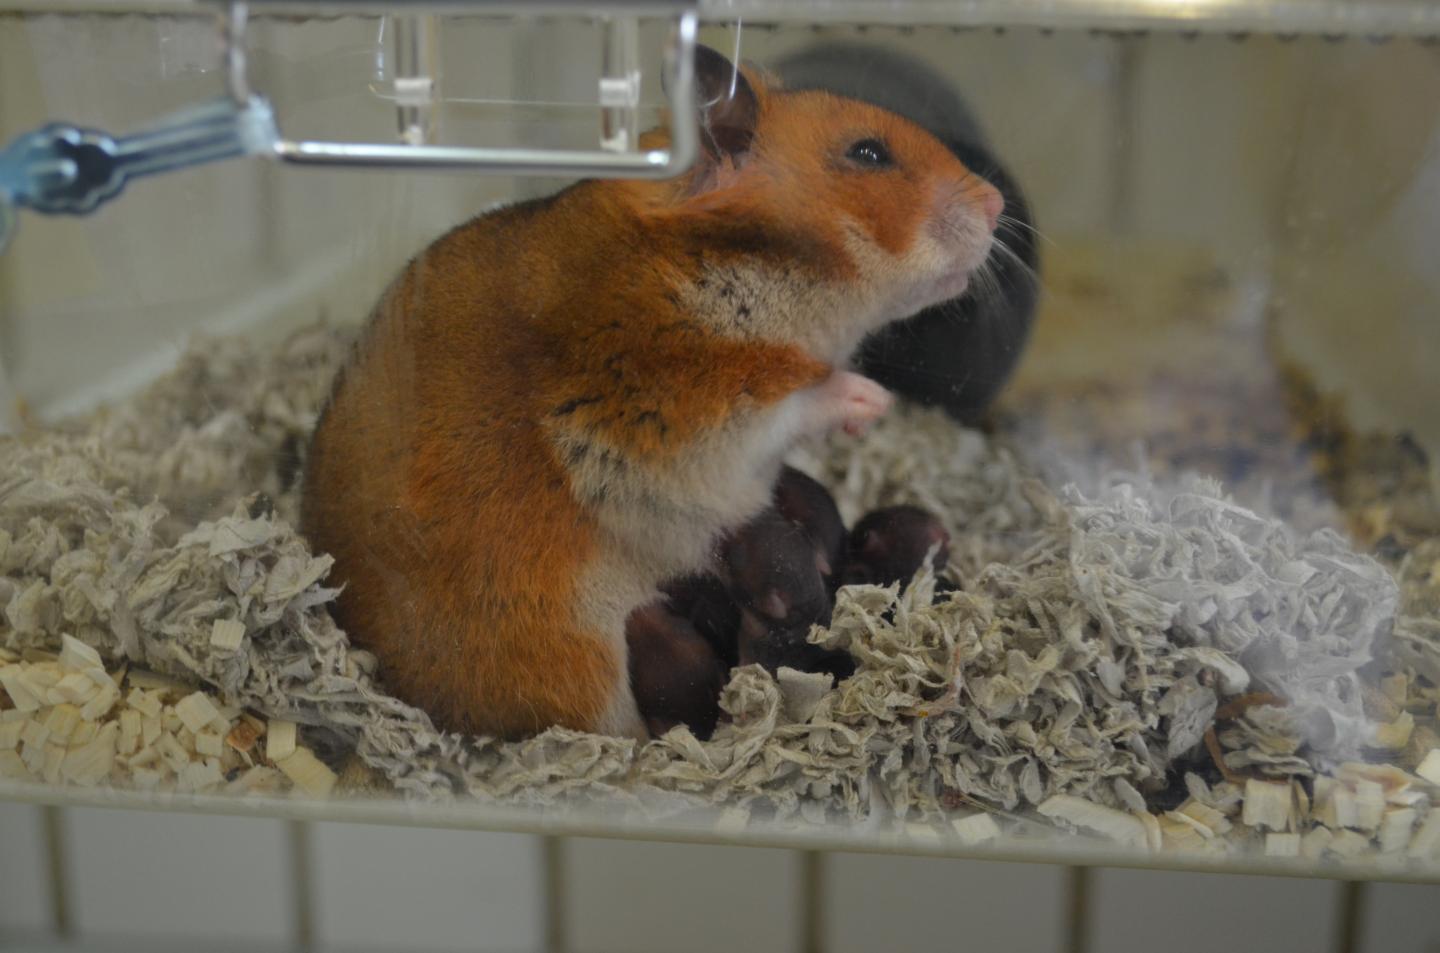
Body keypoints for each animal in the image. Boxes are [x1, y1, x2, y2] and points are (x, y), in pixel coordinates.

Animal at [301, 45, 1000, 741]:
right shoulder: (688, 422)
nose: (997, 202)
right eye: (868, 153)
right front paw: (871, 402)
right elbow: (798, 399)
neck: (728, 268)